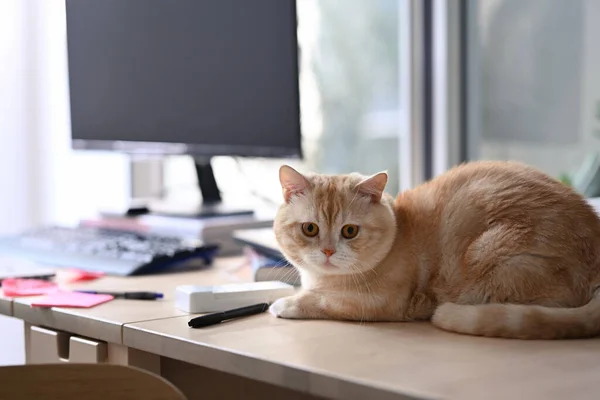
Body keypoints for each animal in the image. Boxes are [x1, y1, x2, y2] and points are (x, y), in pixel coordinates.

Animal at [270, 159, 600, 338]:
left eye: (349, 231)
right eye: (310, 229)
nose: (327, 251)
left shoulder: (379, 302)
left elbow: (320, 300)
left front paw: (285, 304)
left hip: (491, 259)